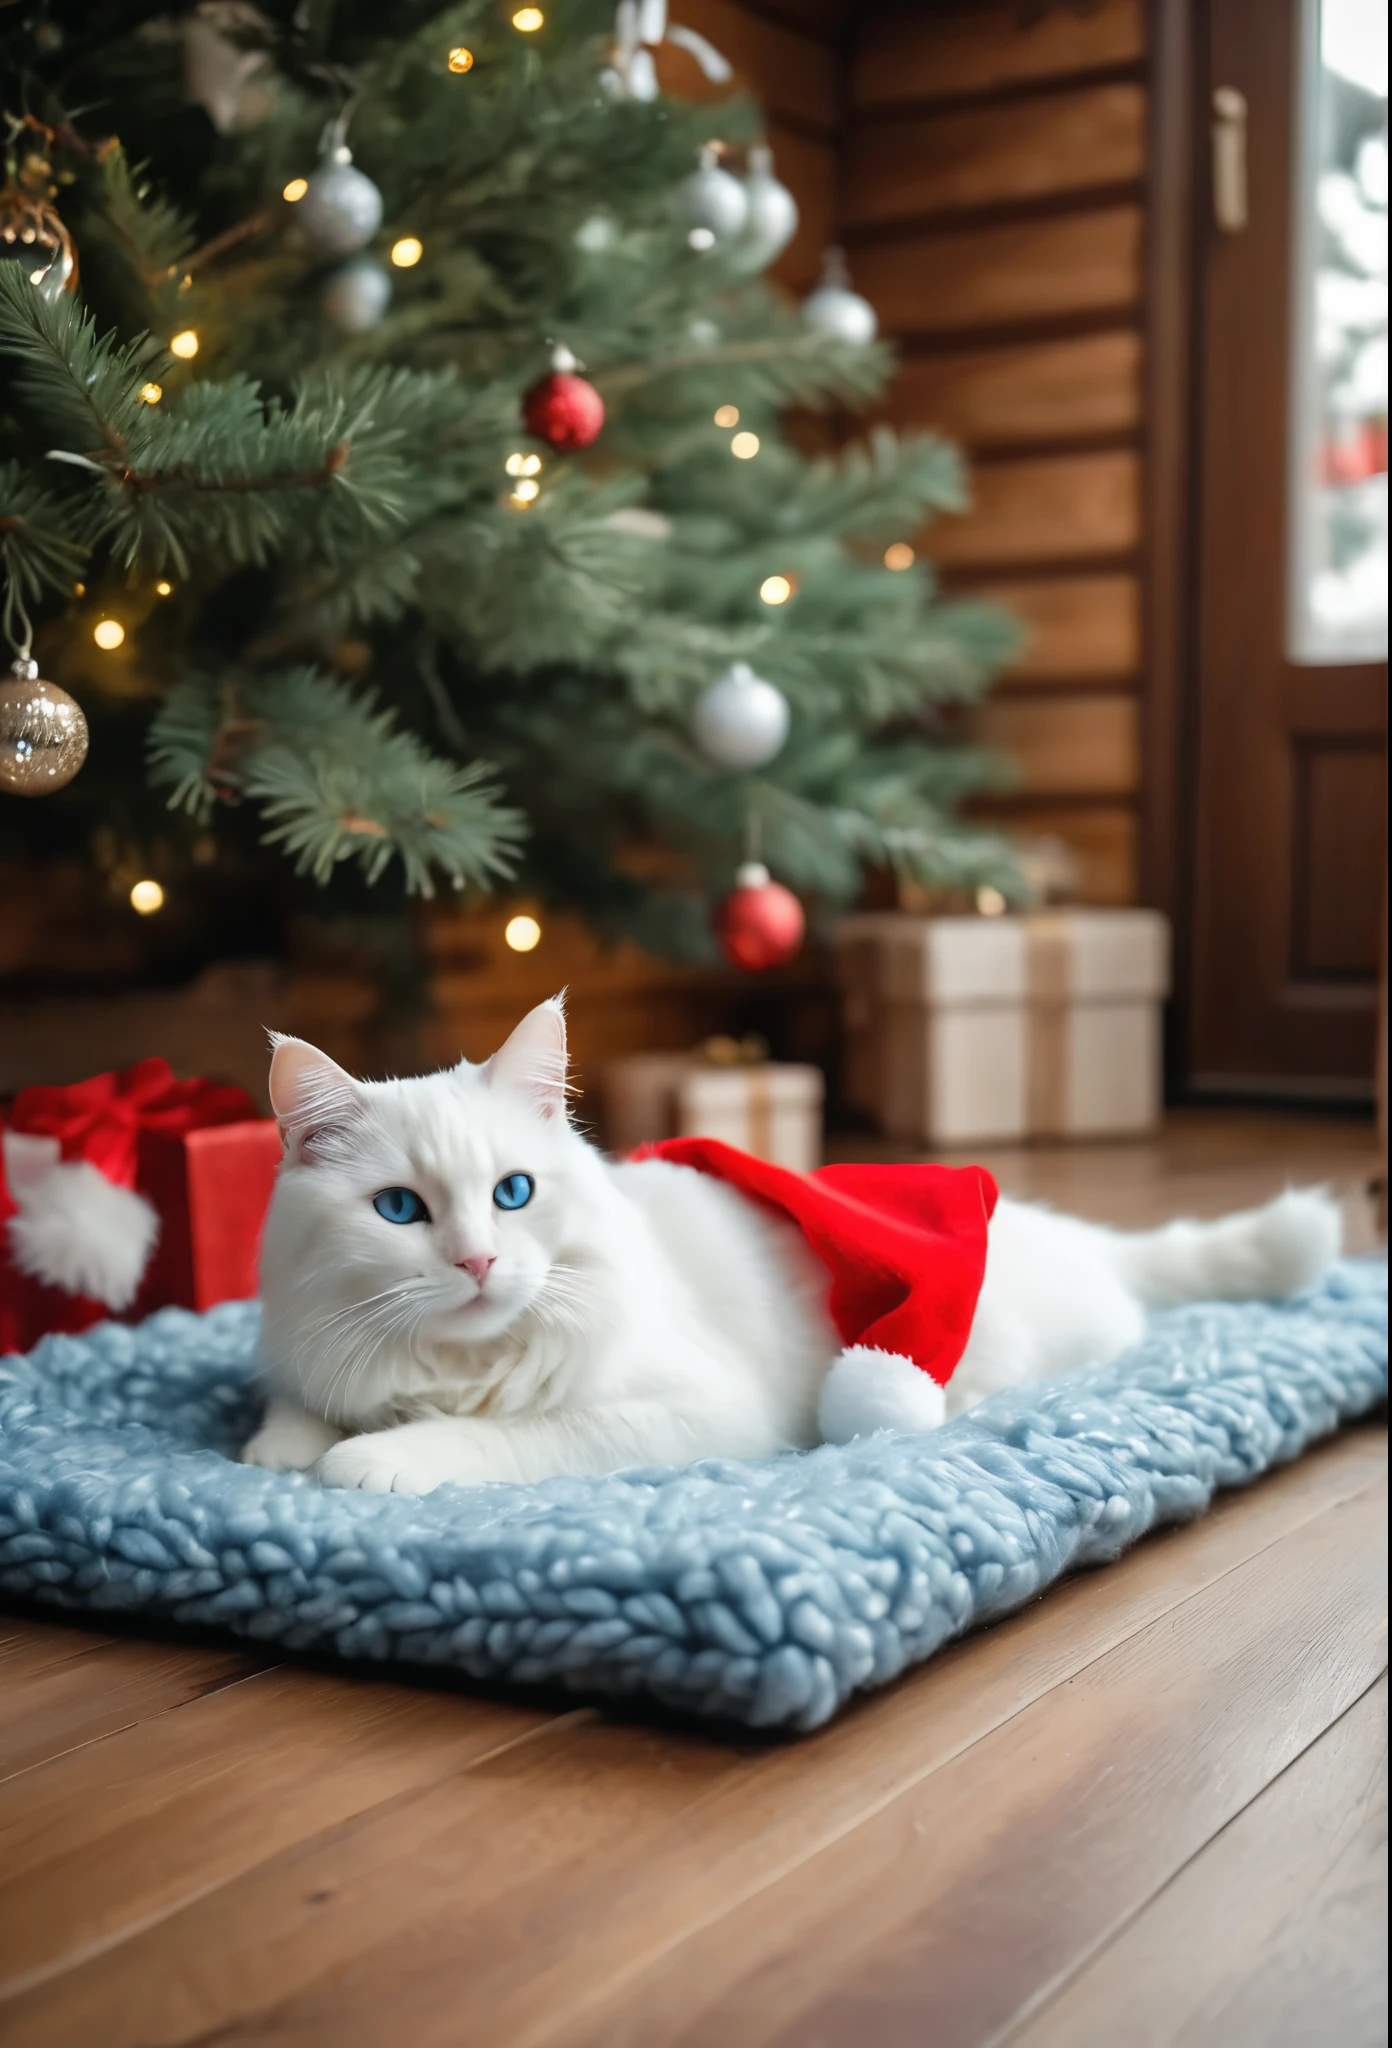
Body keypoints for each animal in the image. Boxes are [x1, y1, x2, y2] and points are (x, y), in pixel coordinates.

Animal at [244, 999, 1342, 1499]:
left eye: (513, 1194)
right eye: (400, 1210)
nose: (476, 1263)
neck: (454, 1363)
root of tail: (1067, 1230)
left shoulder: (683, 1410)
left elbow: (491, 1439)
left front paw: (366, 1459)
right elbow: (292, 1411)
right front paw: (279, 1448)